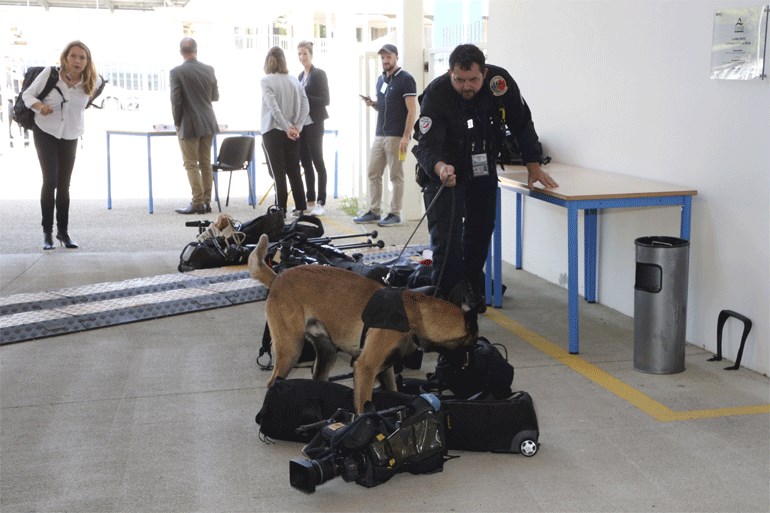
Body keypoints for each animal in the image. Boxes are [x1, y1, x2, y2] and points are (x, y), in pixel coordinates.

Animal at [248, 234, 479, 413]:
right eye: (473, 342)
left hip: (326, 353)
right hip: (292, 350)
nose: (472, 359)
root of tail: (277, 278)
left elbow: (393, 390)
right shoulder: (366, 368)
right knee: (273, 382)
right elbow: (363, 408)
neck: (417, 314)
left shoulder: (385, 369)